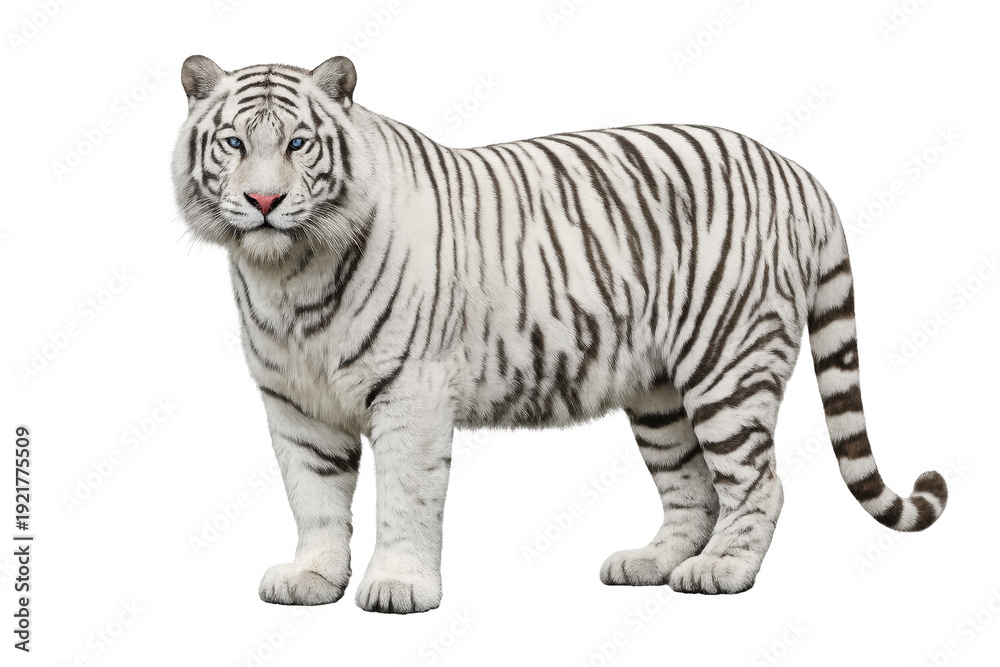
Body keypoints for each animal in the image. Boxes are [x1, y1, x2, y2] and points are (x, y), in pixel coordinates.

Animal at [172, 55, 948, 614]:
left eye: (299, 143)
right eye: (234, 143)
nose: (264, 199)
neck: (287, 273)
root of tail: (799, 171)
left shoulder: (411, 392)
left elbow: (404, 497)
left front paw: (398, 587)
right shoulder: (294, 404)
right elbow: (314, 496)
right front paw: (312, 578)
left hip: (727, 363)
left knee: (760, 482)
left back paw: (722, 570)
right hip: (659, 393)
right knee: (692, 487)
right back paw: (651, 563)